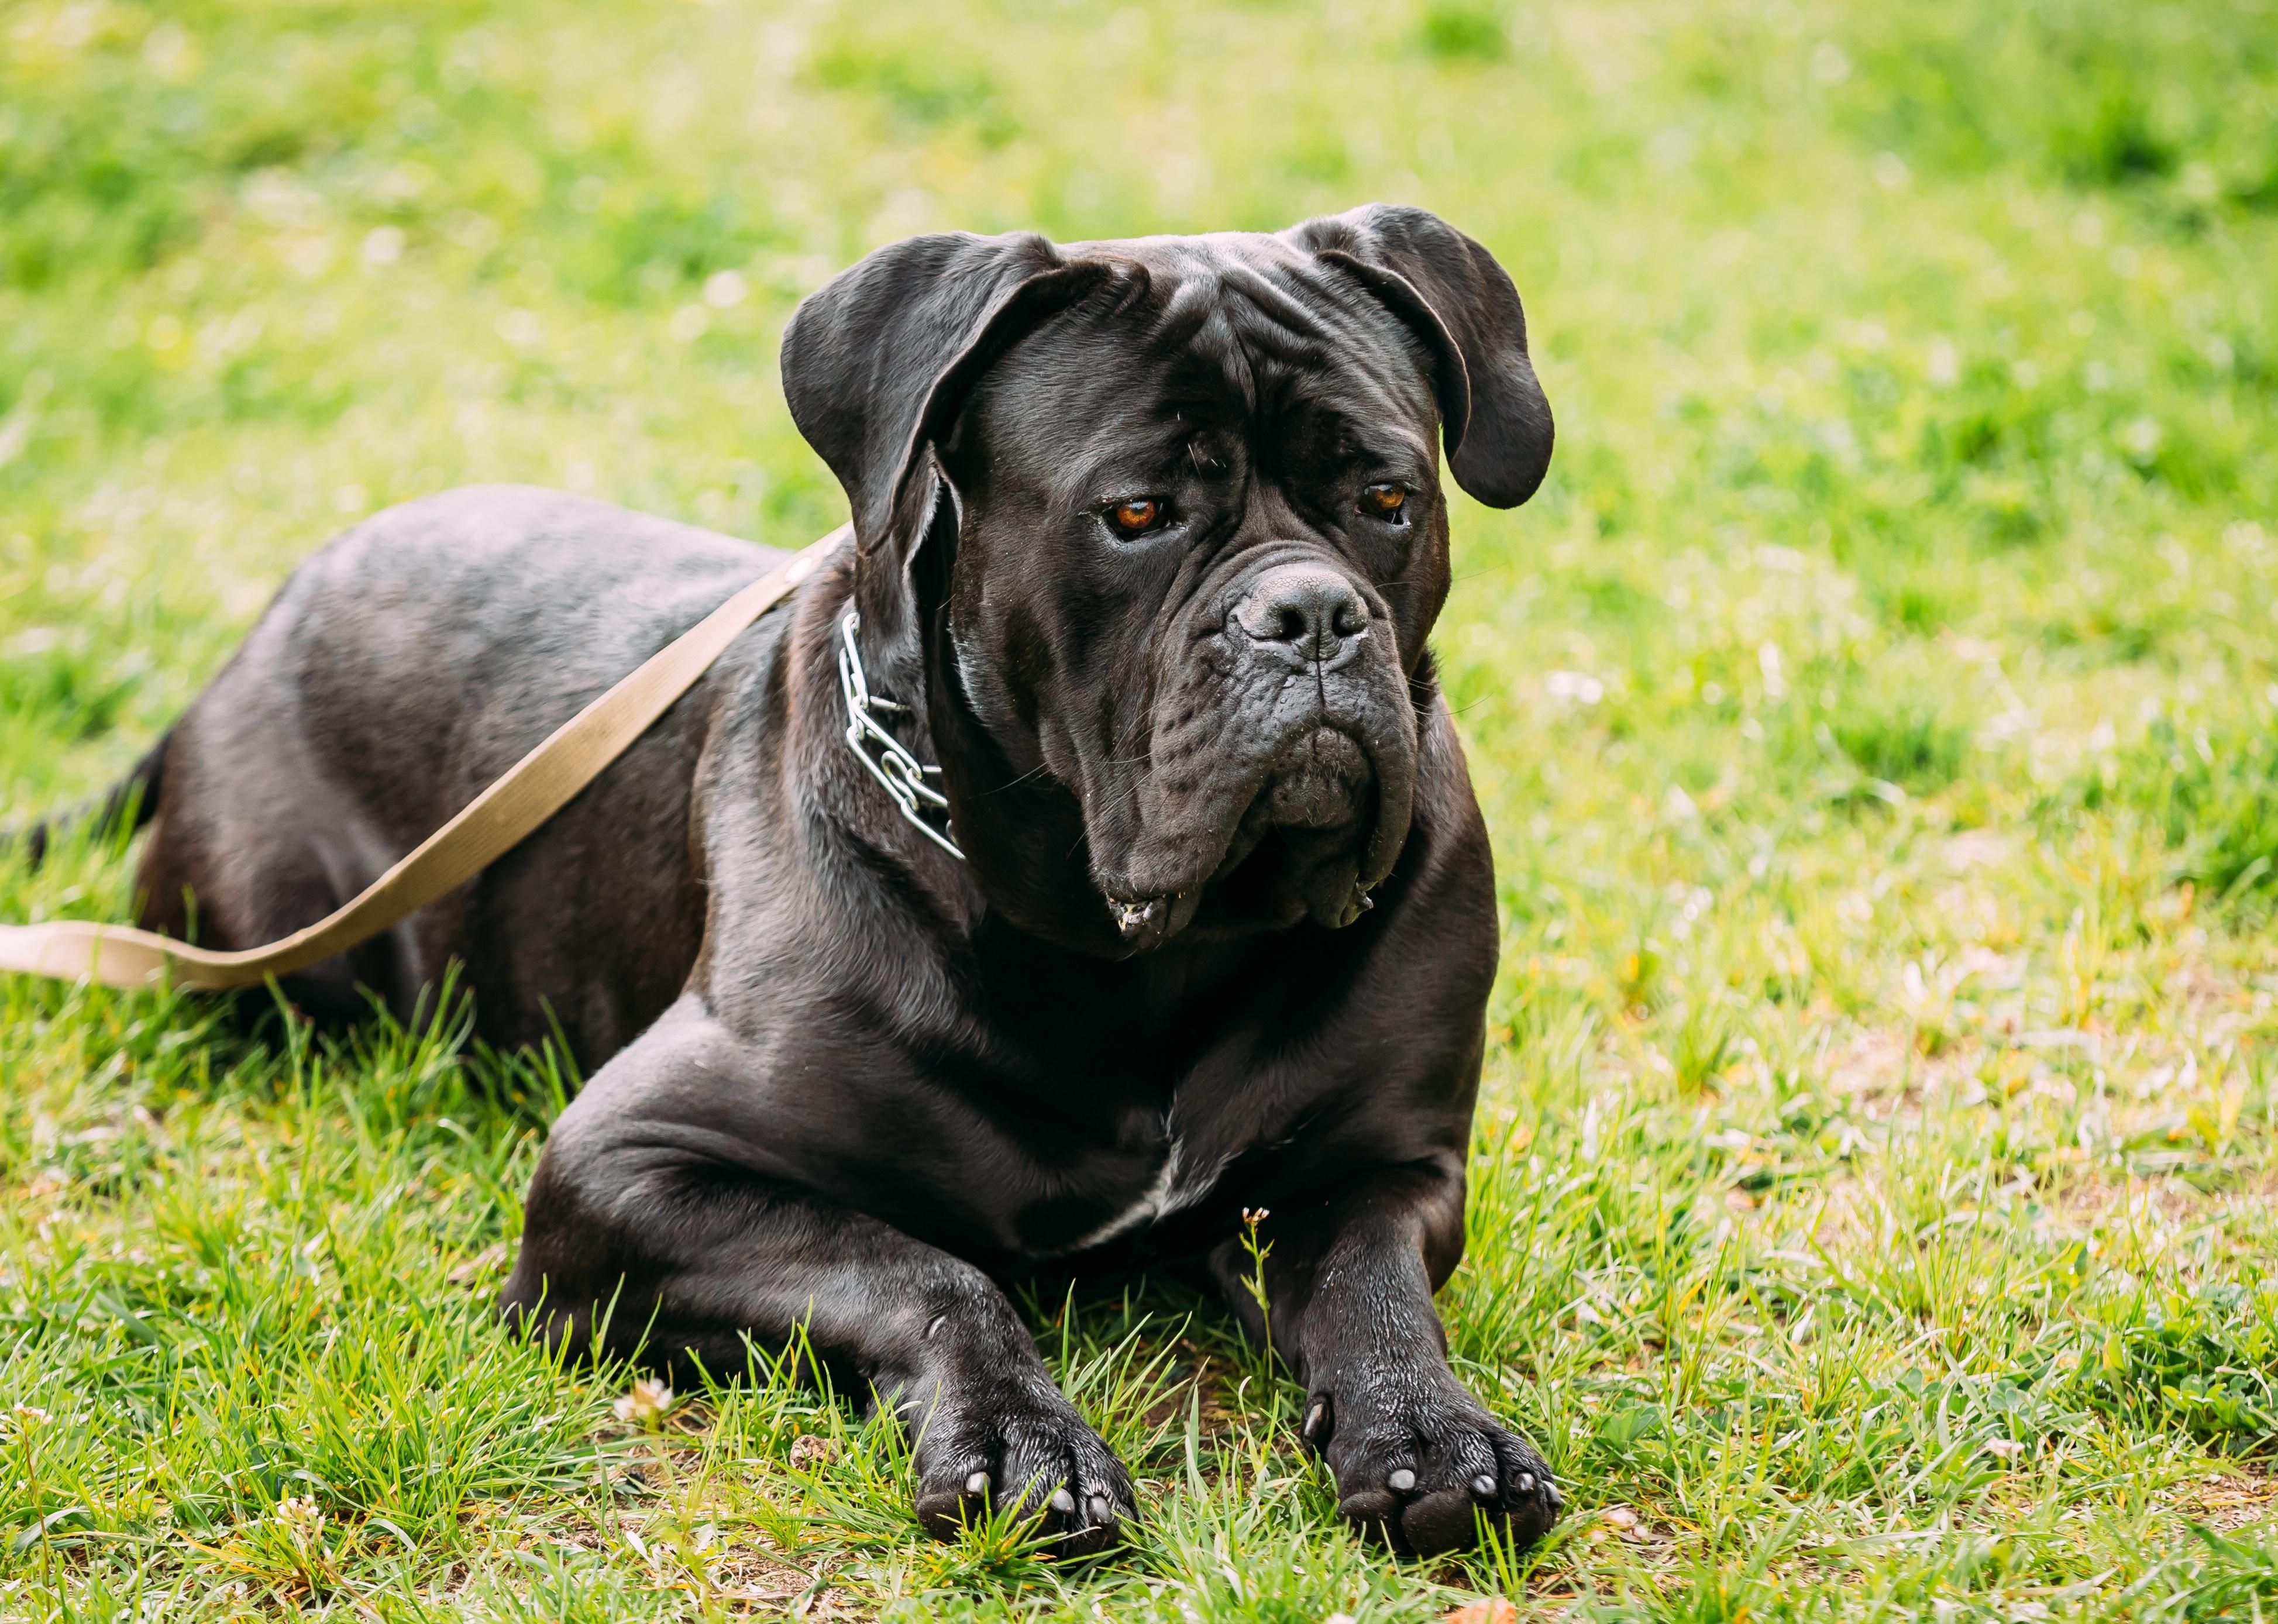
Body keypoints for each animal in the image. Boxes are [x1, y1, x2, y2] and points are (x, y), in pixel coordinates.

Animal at [53, 206, 1558, 1558]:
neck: (1141, 950)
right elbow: (928, 1267)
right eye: (1136, 512)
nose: (1310, 613)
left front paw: (1433, 1432)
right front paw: (1022, 1440)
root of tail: (252, 634)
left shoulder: (1388, 1159)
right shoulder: (627, 1167)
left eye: (1385, 499)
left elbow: (1366, 1284)